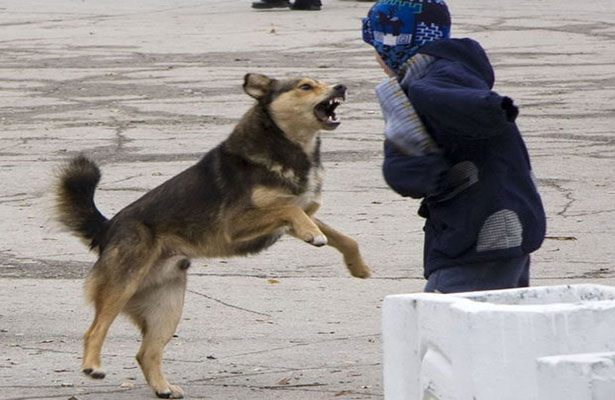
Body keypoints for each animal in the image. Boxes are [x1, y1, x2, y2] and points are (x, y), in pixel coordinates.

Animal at [53, 74, 370, 396]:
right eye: (306, 86)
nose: (341, 87)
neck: (287, 145)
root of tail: (108, 228)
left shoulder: (301, 214)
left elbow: (343, 237)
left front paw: (358, 266)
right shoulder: (237, 224)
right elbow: (291, 210)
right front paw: (314, 236)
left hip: (166, 305)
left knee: (145, 353)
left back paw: (162, 388)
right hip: (122, 285)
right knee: (95, 329)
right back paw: (93, 366)